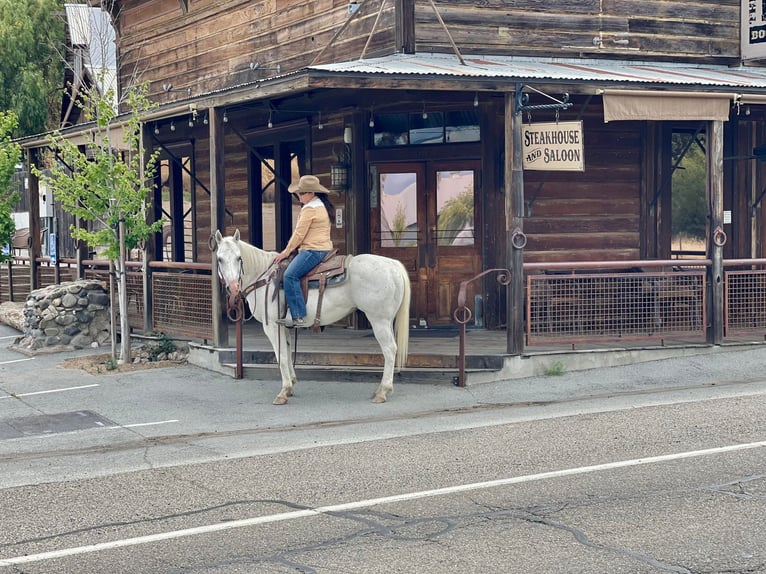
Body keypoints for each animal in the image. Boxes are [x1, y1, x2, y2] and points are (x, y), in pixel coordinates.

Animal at [213, 230, 412, 404]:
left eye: (239, 258)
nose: (233, 287)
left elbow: (281, 357)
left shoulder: (271, 327)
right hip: (386, 321)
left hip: (379, 321)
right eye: (220, 259)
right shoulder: (283, 326)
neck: (263, 276)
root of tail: (392, 265)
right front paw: (291, 385)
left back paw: (383, 391)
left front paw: (283, 392)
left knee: (389, 350)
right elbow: (287, 353)